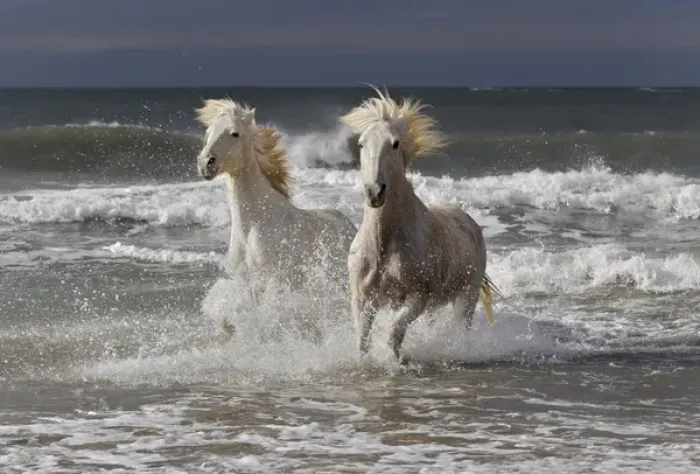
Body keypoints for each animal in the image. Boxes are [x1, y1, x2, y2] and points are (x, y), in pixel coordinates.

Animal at [195, 98, 357, 336]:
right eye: (208, 133)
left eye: (234, 133)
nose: (206, 163)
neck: (254, 224)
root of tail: (349, 225)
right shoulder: (249, 283)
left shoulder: (275, 280)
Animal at [340, 87, 498, 363]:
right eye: (361, 144)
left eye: (395, 143)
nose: (374, 192)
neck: (383, 244)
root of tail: (470, 223)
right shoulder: (362, 298)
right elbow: (363, 339)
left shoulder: (417, 298)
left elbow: (394, 331)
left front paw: (395, 362)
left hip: (466, 296)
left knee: (462, 327)